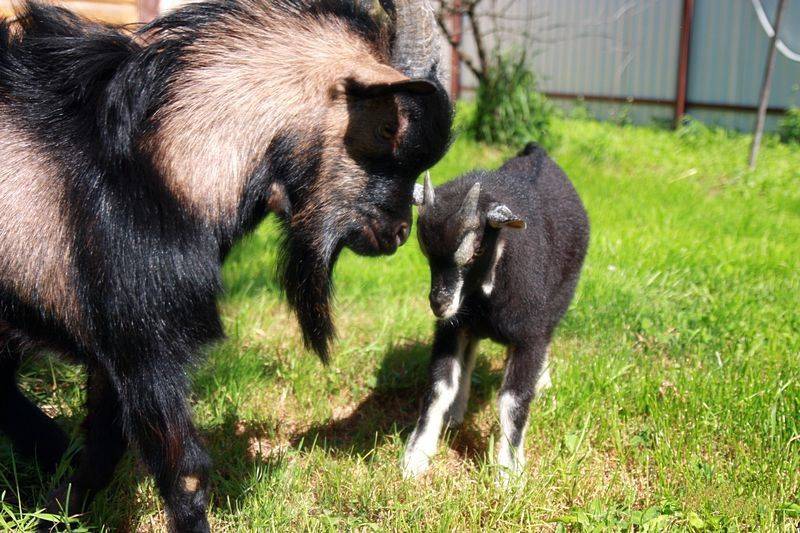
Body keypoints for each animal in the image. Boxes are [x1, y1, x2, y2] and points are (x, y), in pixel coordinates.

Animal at [406, 143, 588, 476]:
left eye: (477, 249)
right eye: (426, 254)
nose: (439, 304)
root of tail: (537, 151)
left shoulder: (530, 335)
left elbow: (513, 400)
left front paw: (509, 470)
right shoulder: (452, 327)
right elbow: (440, 386)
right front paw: (416, 457)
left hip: (559, 301)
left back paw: (543, 381)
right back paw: (456, 412)